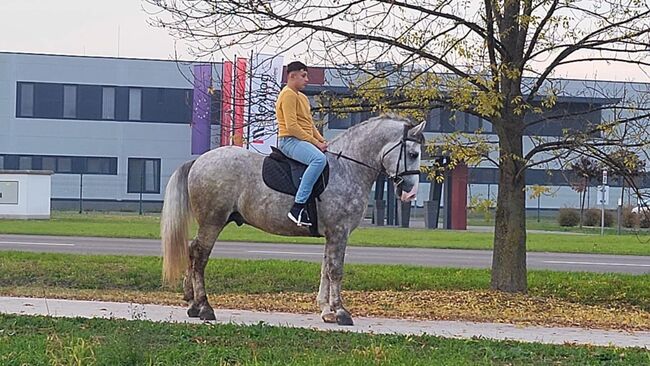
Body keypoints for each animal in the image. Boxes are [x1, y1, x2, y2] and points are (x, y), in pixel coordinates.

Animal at [161, 115, 426, 326]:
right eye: (413, 154)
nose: (410, 192)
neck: (346, 167)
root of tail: (199, 160)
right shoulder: (339, 232)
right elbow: (335, 271)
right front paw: (341, 312)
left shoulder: (332, 235)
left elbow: (325, 269)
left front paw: (327, 311)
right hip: (213, 221)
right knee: (200, 255)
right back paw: (205, 307)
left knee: (192, 250)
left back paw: (193, 304)